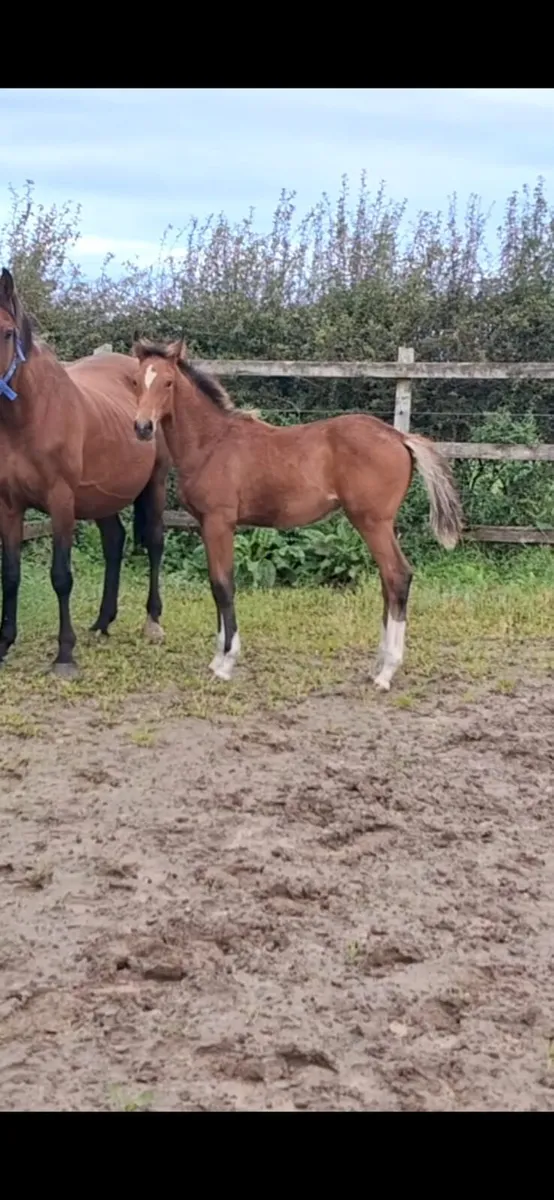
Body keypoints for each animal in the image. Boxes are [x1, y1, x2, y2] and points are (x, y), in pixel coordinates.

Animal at [0, 268, 170, 678]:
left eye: (8, 333)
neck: (28, 416)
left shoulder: (61, 502)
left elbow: (61, 577)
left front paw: (64, 655)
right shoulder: (9, 505)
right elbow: (10, 575)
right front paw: (4, 643)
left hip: (155, 484)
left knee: (155, 543)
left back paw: (152, 622)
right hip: (102, 496)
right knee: (115, 542)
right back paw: (102, 621)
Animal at [131, 336, 464, 692]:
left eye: (168, 382)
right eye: (136, 381)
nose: (142, 427)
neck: (212, 443)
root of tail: (400, 437)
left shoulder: (219, 522)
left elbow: (223, 585)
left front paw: (226, 662)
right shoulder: (208, 525)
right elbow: (215, 584)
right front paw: (217, 657)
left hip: (373, 522)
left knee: (397, 575)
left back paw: (387, 672)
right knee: (389, 582)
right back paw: (378, 664)